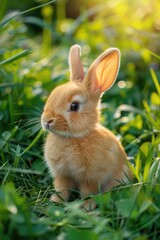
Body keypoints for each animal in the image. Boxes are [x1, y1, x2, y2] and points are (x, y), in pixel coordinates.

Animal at [41, 44, 131, 209]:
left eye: (74, 106)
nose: (47, 121)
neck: (74, 137)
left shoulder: (91, 178)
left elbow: (88, 192)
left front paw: (86, 207)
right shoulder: (62, 175)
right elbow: (61, 189)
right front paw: (54, 202)